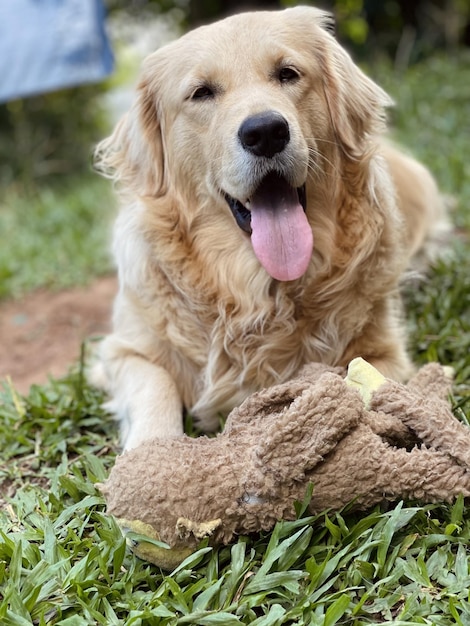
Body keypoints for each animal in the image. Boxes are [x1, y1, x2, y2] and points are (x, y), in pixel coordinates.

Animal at [94, 3, 448, 444]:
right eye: (202, 93)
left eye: (287, 74)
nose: (265, 132)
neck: (259, 292)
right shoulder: (123, 349)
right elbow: (154, 387)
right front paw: (152, 450)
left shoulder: (385, 350)